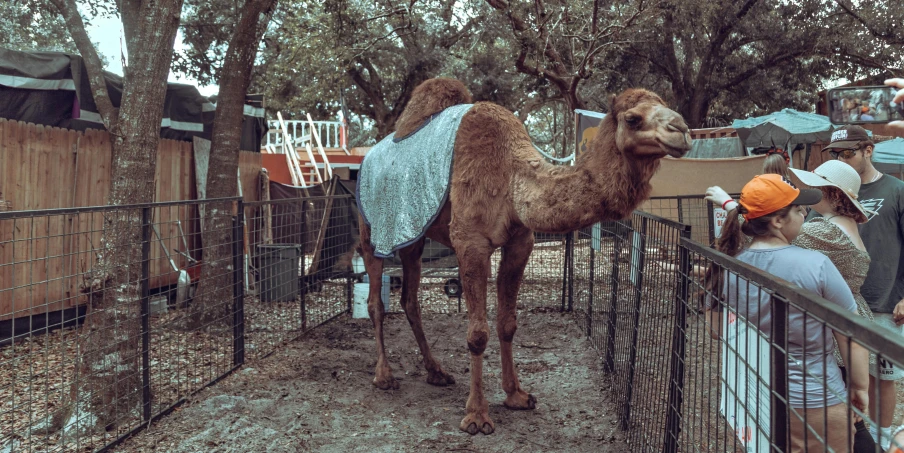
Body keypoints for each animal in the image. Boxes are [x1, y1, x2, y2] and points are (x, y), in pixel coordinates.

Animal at [354, 78, 692, 434]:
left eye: (667, 106)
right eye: (633, 119)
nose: (682, 129)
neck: (511, 175)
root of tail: (366, 159)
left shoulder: (520, 241)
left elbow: (508, 323)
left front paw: (516, 395)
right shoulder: (470, 242)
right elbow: (478, 334)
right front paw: (477, 415)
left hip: (412, 235)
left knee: (410, 299)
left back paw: (437, 372)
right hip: (371, 229)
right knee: (375, 300)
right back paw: (384, 376)